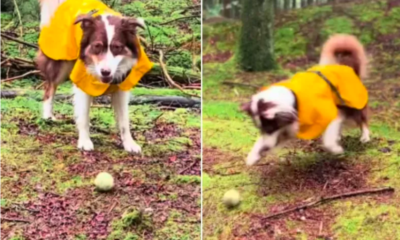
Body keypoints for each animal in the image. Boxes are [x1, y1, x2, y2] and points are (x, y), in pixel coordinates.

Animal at [35, 0, 153, 153]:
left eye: (117, 47)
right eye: (97, 46)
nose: (105, 72)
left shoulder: (121, 87)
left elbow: (124, 121)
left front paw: (129, 143)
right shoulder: (82, 81)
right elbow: (83, 116)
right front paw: (84, 141)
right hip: (61, 62)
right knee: (49, 87)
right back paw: (48, 116)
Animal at [241, 34, 368, 166]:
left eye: (270, 128)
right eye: (261, 129)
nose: (266, 147)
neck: (293, 100)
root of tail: (347, 66)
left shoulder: (330, 114)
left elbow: (328, 139)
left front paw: (336, 149)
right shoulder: (287, 128)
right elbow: (260, 143)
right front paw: (253, 156)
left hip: (353, 103)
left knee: (362, 118)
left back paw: (365, 137)